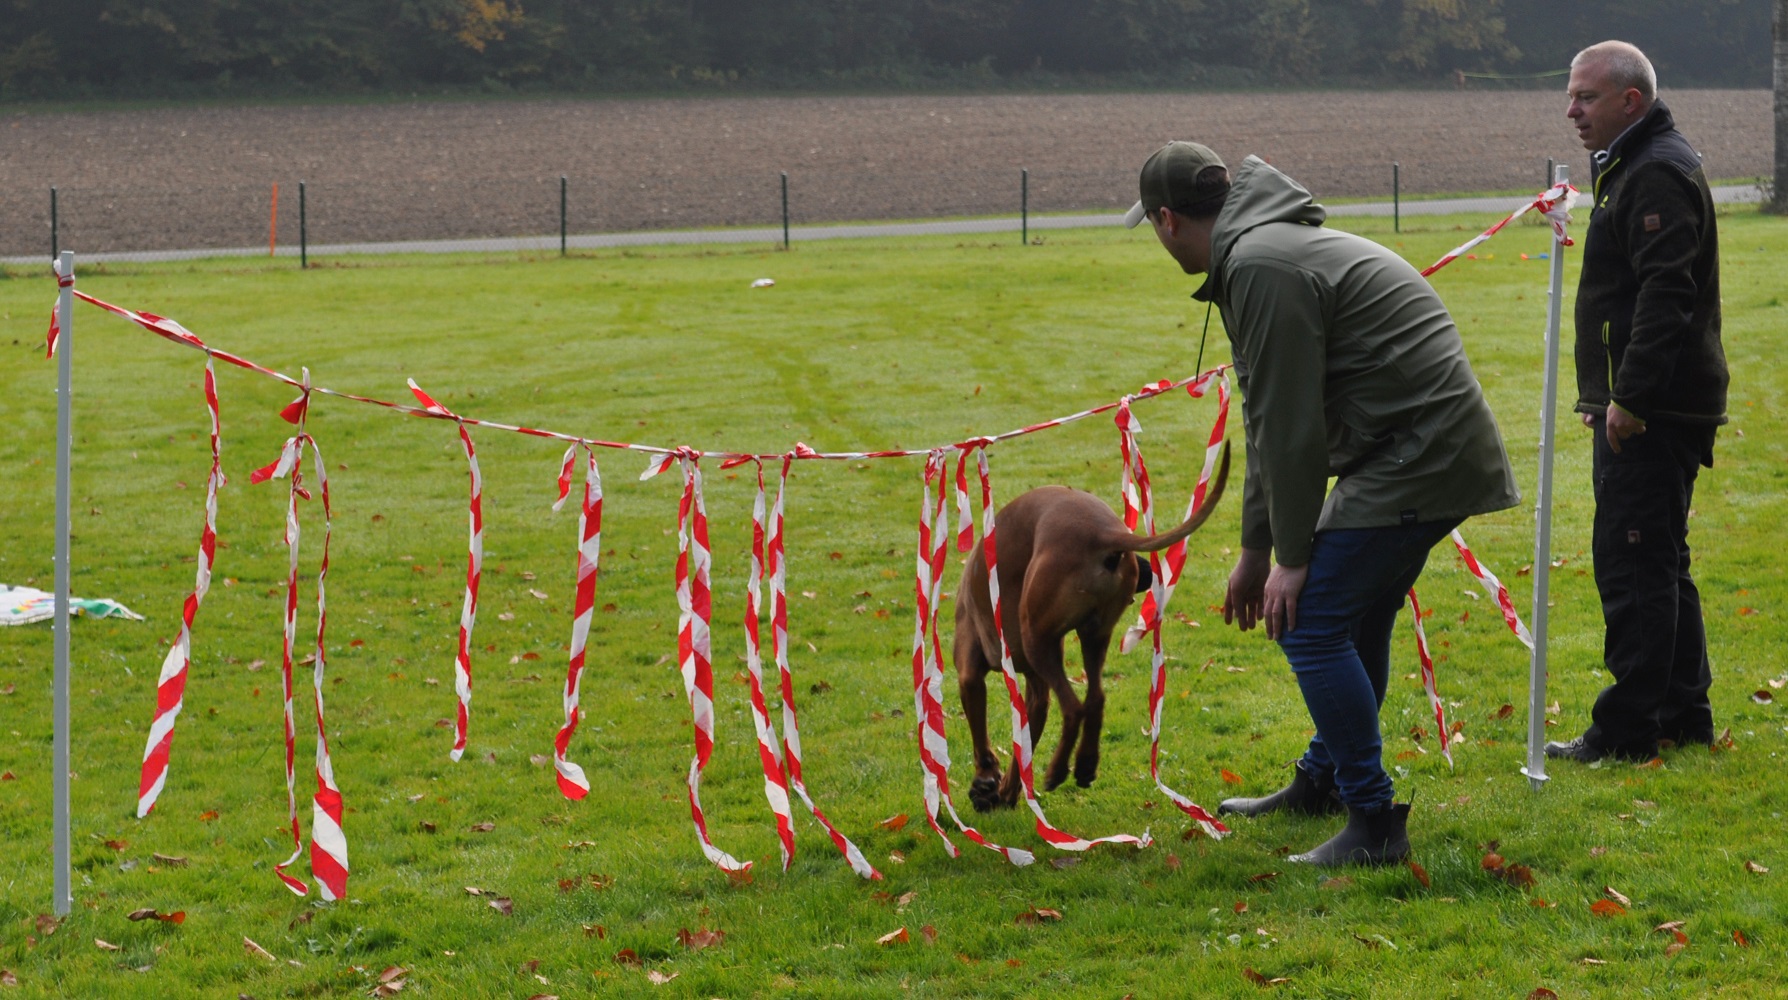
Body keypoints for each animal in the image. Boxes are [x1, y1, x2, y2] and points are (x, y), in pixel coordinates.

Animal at [951, 445, 1230, 815]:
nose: (1148, 570)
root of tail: (1103, 533)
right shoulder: (1036, 689)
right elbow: (1023, 750)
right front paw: (1006, 790)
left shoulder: (971, 670)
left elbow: (982, 734)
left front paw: (986, 780)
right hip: (1093, 637)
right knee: (1096, 698)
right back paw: (1084, 765)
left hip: (1038, 638)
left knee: (1074, 708)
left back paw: (1057, 772)